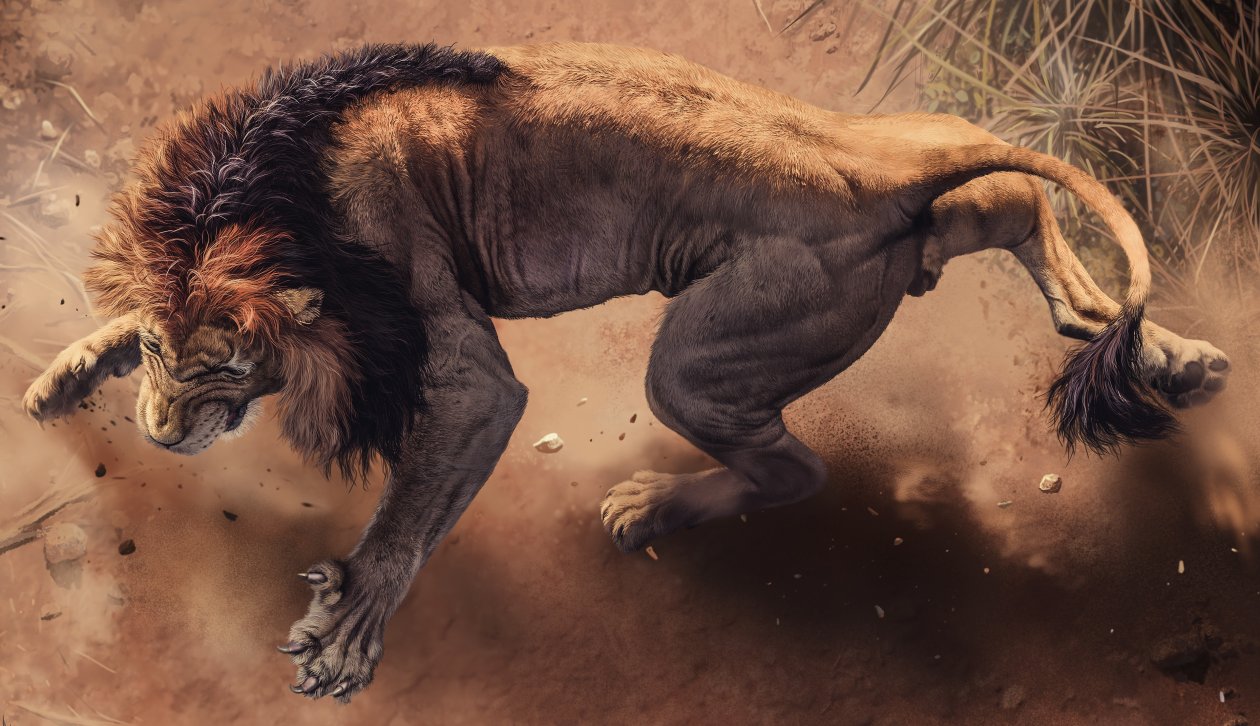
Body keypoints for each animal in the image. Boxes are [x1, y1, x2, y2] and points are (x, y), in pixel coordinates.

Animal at [22, 42, 1229, 701]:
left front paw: (349, 628)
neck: (269, 210)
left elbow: (409, 512)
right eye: (166, 355)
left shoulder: (453, 362)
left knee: (796, 471)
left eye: (225, 367)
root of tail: (871, 166)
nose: (162, 431)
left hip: (699, 358)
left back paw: (650, 508)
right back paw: (1176, 357)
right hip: (929, 167)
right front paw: (66, 372)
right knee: (1023, 203)